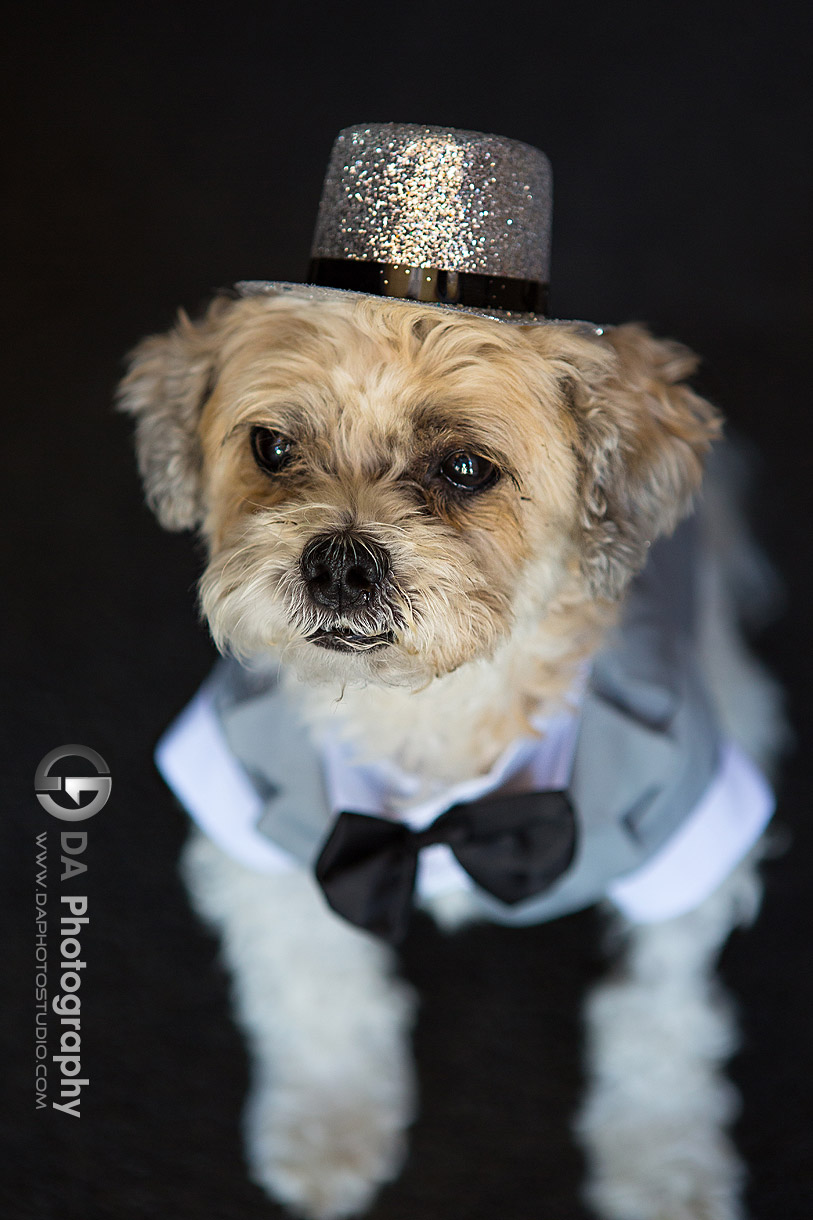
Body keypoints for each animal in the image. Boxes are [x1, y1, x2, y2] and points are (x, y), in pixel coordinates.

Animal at [117, 287, 781, 1220]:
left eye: (466, 468)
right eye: (272, 447)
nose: (339, 562)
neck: (427, 715)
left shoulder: (685, 854)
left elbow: (659, 1021)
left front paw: (663, 1161)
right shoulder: (253, 842)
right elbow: (316, 994)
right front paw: (329, 1121)